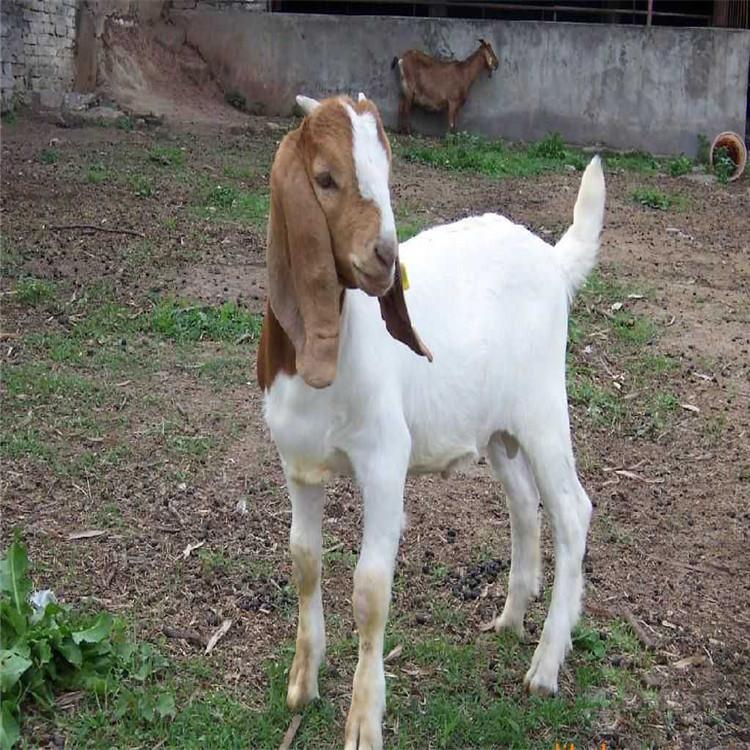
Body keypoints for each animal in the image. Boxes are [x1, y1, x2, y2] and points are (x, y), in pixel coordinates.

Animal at [258, 92, 604, 750]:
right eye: (325, 178)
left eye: (388, 172)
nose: (386, 259)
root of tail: (552, 260)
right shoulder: (298, 464)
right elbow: (303, 562)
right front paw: (301, 684)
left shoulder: (383, 460)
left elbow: (370, 590)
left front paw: (364, 721)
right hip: (499, 429)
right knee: (524, 504)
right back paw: (510, 619)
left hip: (544, 407)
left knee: (573, 510)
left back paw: (546, 665)